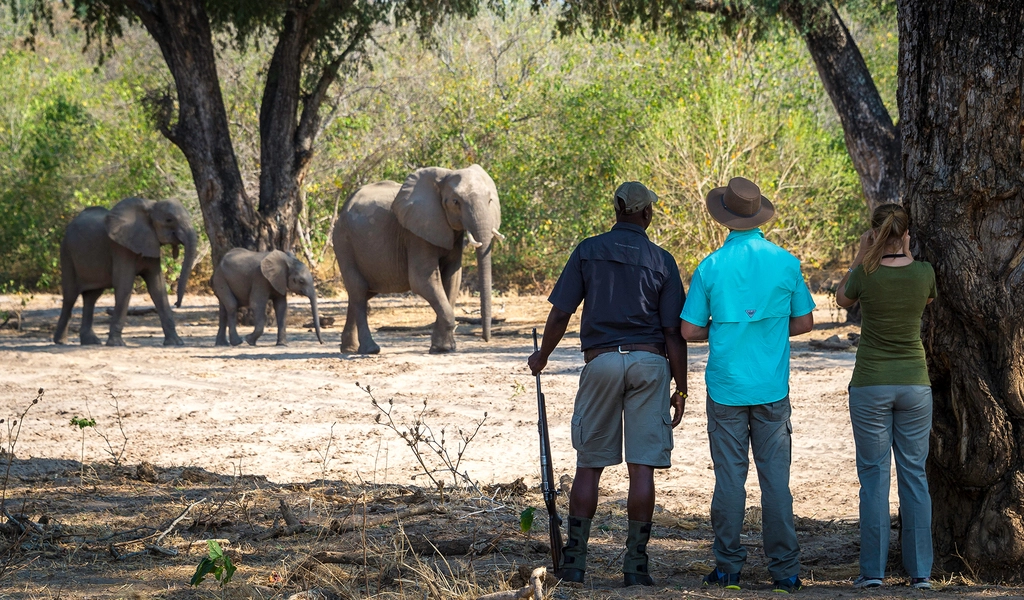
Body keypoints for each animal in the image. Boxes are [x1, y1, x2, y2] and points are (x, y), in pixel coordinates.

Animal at [52, 196, 197, 346]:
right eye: (169, 220)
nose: (177, 304)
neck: (150, 206)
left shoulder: (150, 243)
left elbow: (158, 287)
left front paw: (175, 342)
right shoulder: (120, 248)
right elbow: (124, 285)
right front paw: (116, 344)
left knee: (91, 297)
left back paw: (91, 342)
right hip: (66, 253)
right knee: (70, 296)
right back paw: (61, 341)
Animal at [333, 163, 501, 352]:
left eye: (490, 201)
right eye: (455, 202)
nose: (485, 339)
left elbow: (452, 279)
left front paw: (443, 348)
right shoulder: (415, 234)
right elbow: (422, 280)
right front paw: (443, 348)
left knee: (361, 293)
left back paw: (349, 349)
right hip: (343, 242)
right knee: (359, 291)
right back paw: (370, 349)